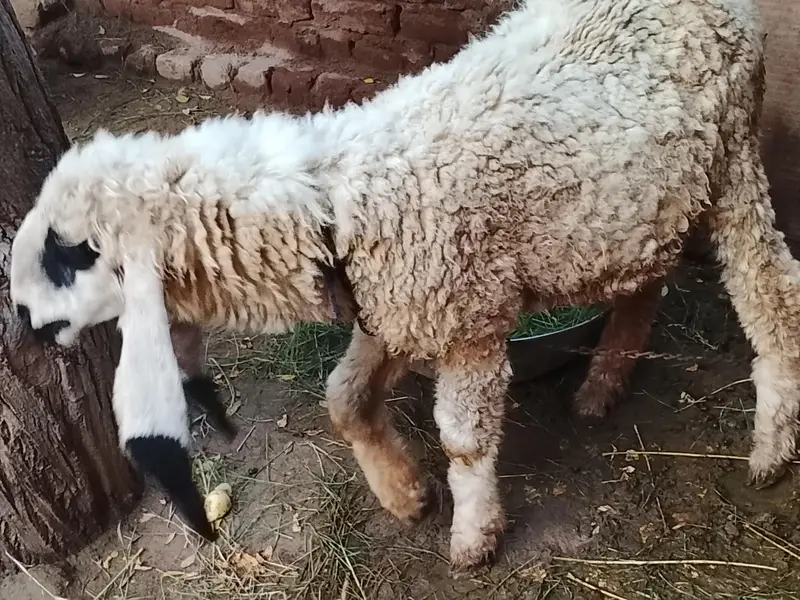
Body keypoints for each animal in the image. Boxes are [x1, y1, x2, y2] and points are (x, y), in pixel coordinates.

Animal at [9, 0, 788, 576]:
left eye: (69, 254)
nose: (24, 320)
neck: (335, 203)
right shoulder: (393, 312)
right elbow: (345, 398)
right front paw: (406, 495)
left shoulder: (469, 325)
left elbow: (465, 442)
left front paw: (473, 537)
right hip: (637, 206)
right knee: (647, 284)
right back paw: (603, 385)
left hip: (735, 155)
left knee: (773, 293)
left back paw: (771, 451)